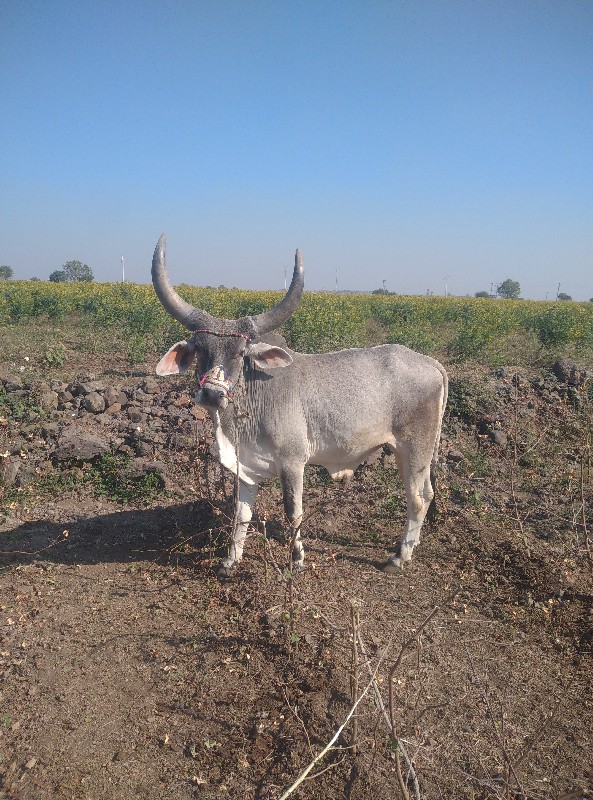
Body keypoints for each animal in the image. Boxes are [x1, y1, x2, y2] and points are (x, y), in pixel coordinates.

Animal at [150, 234, 446, 580]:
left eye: (240, 352)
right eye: (199, 349)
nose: (211, 394)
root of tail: (430, 363)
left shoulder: (293, 463)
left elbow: (293, 512)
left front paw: (297, 560)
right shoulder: (245, 469)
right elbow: (241, 513)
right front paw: (230, 560)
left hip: (416, 450)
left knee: (419, 498)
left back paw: (400, 557)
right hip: (404, 452)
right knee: (424, 494)